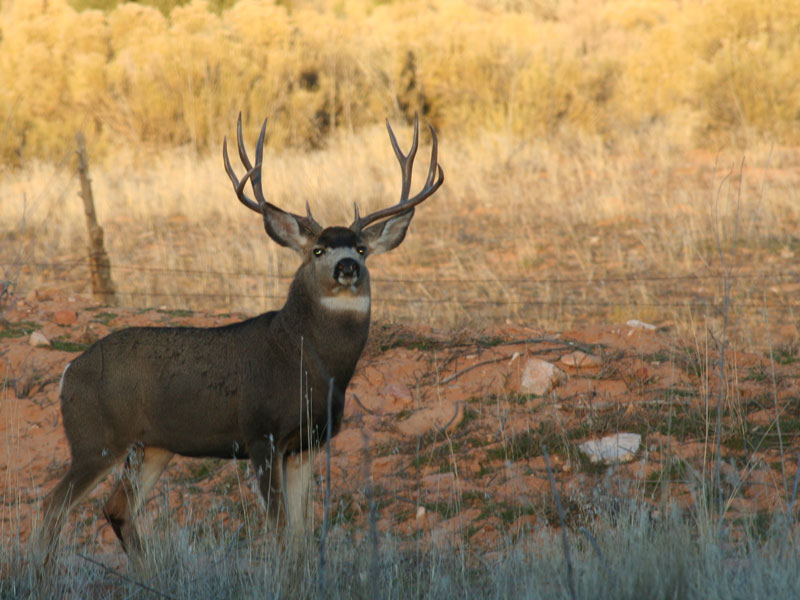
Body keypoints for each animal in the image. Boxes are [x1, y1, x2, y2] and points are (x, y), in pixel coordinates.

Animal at [39, 112, 444, 564]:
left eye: (361, 248)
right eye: (318, 250)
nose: (347, 268)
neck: (306, 361)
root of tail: (68, 371)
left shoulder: (308, 443)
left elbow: (300, 534)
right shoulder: (259, 433)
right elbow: (281, 530)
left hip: (154, 446)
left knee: (117, 507)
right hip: (95, 437)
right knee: (54, 504)